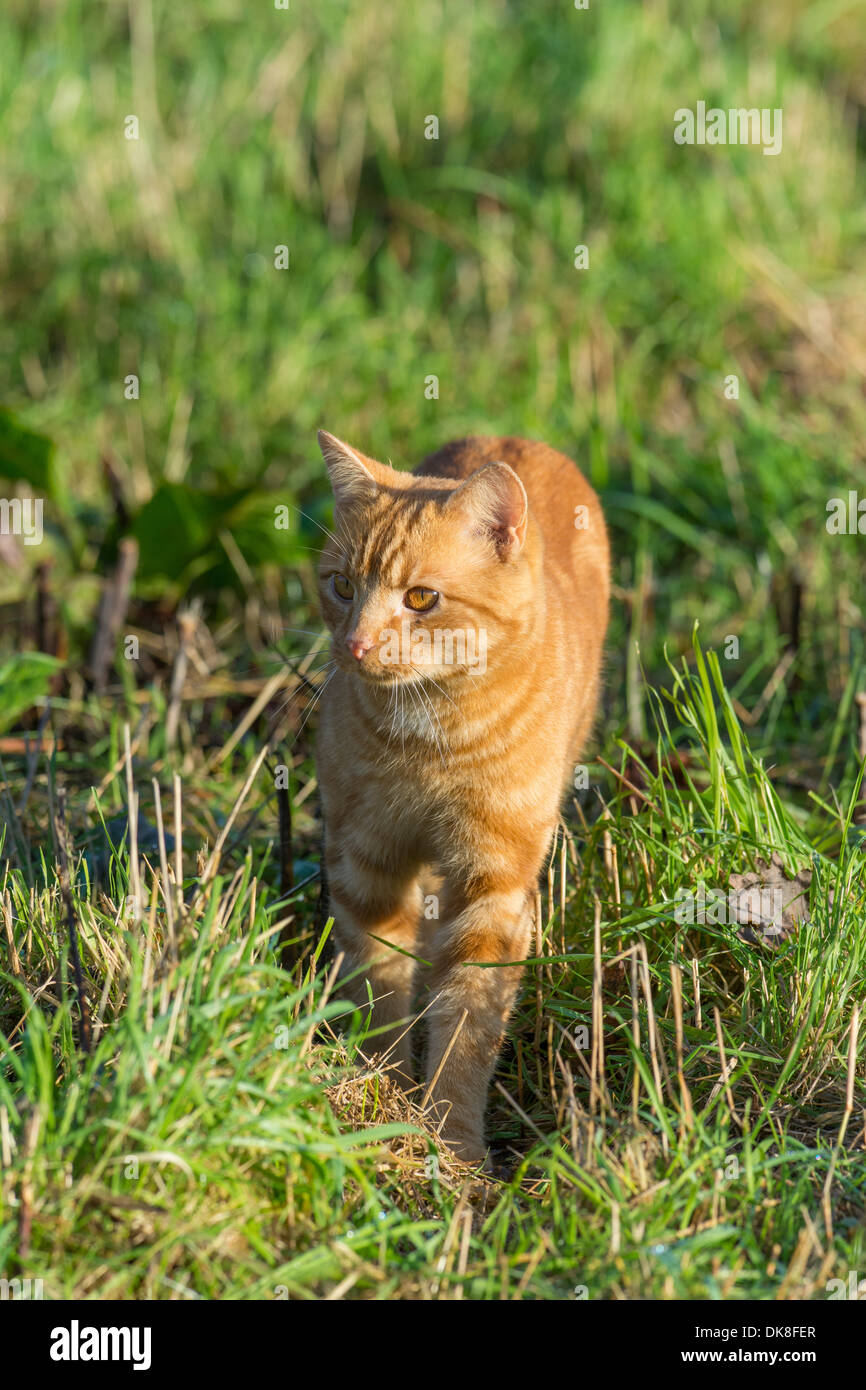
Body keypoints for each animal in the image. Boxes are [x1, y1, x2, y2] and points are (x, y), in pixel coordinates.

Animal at [312, 425, 608, 1162]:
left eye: (421, 599)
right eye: (342, 586)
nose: (355, 645)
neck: (429, 737)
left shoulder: (493, 884)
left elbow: (469, 1024)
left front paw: (453, 1144)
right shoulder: (367, 864)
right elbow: (379, 988)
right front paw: (381, 1098)